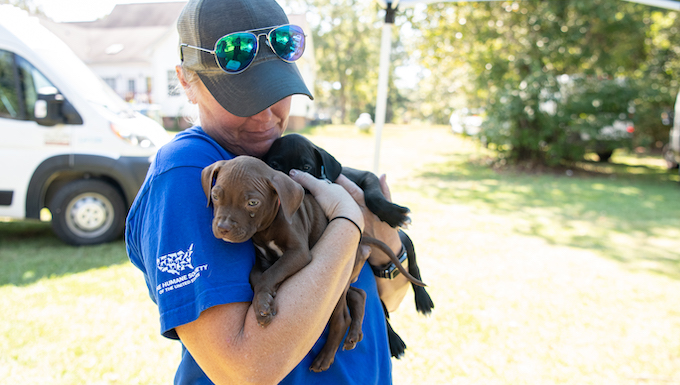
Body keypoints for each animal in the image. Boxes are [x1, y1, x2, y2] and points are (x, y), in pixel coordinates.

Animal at [262, 132, 432, 356]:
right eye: (274, 165)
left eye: (306, 167)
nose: (291, 190)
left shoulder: (366, 176)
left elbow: (372, 196)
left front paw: (393, 213)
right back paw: (394, 340)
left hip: (404, 238)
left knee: (413, 264)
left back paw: (424, 300)